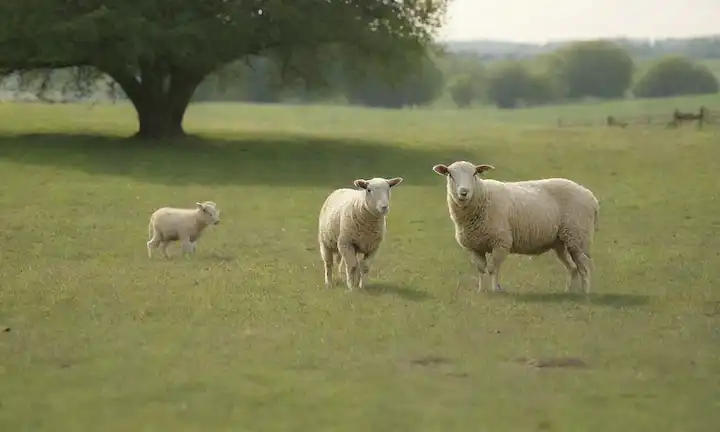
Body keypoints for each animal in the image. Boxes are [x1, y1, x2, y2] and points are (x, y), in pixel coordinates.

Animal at [432, 161, 599, 294]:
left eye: (475, 173)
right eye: (449, 174)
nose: (464, 192)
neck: (483, 196)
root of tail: (591, 197)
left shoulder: (501, 243)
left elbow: (493, 268)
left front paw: (495, 290)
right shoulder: (475, 247)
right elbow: (481, 269)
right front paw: (481, 290)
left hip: (578, 237)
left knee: (584, 267)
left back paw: (585, 293)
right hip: (561, 242)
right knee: (572, 267)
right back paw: (569, 292)